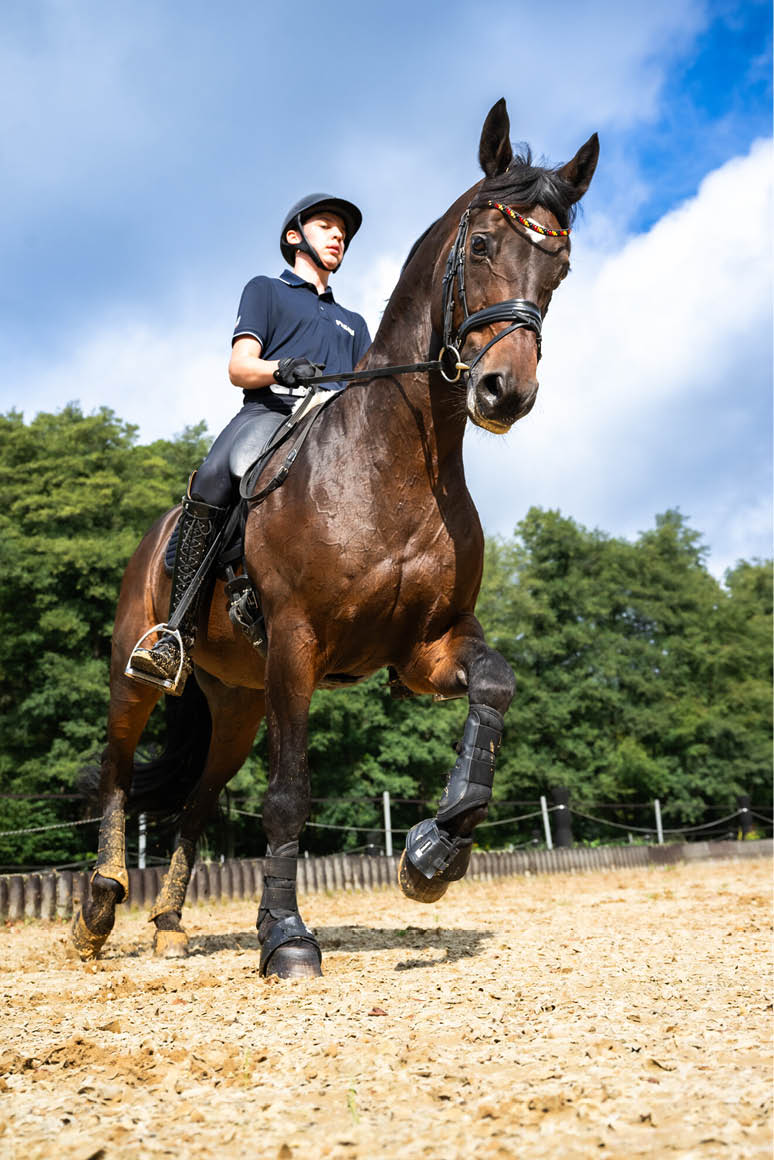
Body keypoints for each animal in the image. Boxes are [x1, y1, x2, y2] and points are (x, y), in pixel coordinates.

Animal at [72, 98, 598, 977]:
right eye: (482, 247)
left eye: (557, 271)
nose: (505, 393)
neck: (395, 464)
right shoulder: (296, 640)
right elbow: (290, 795)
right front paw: (286, 937)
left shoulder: (425, 648)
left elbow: (495, 689)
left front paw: (433, 853)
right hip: (137, 673)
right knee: (116, 769)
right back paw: (100, 907)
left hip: (236, 701)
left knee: (196, 803)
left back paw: (171, 925)